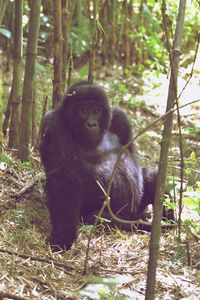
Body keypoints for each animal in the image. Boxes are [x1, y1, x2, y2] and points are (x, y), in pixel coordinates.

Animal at [39, 80, 159, 251]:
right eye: (83, 110)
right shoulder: (54, 123)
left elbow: (136, 164)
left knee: (150, 176)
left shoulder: (119, 117)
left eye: (96, 111)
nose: (91, 124)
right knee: (101, 217)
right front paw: (62, 236)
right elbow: (63, 177)